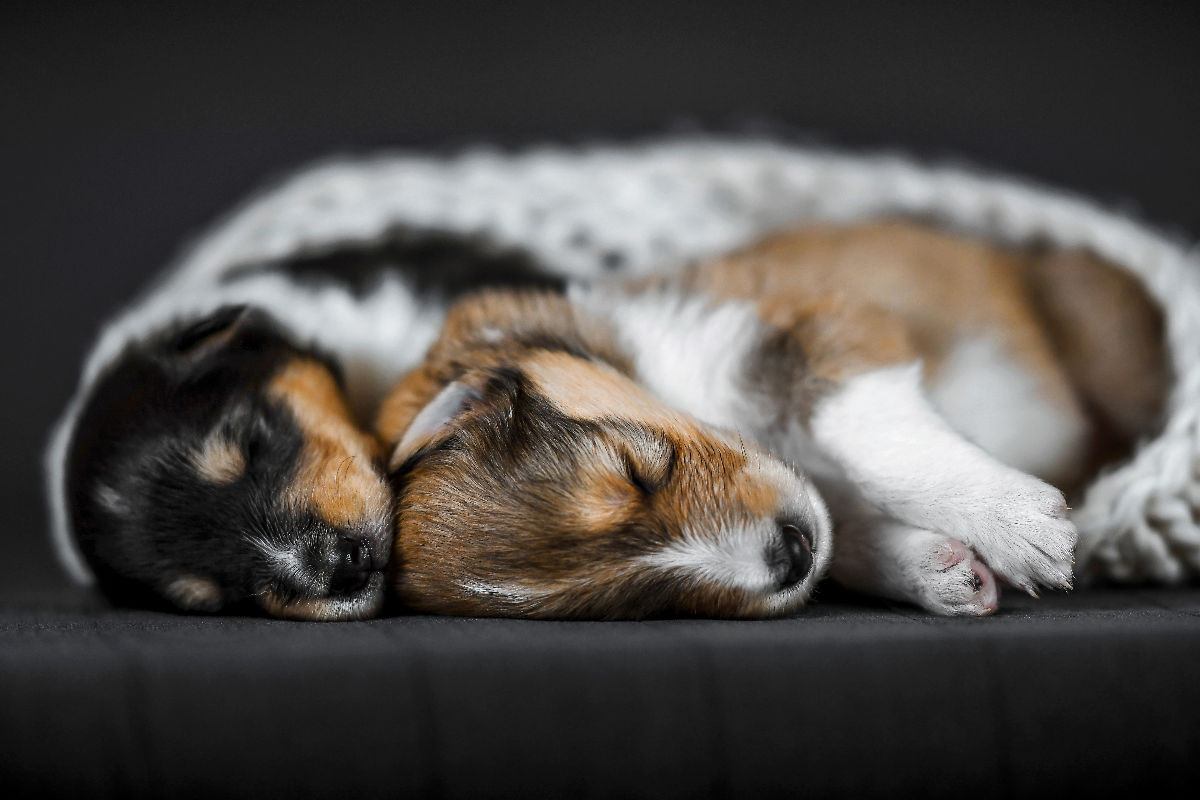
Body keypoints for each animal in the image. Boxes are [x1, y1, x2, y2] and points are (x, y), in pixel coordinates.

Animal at [379, 219, 1166, 618]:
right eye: (636, 599)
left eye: (634, 470)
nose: (788, 558)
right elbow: (848, 531)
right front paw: (937, 568)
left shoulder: (818, 324)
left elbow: (870, 434)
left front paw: (1012, 521)